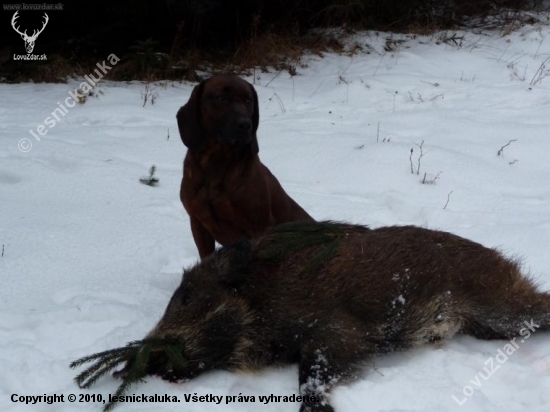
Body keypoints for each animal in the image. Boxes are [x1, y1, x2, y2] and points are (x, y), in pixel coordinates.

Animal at [178, 75, 314, 258]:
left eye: (248, 100)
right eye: (221, 98)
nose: (245, 124)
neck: (216, 163)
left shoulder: (259, 225)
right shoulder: (198, 224)